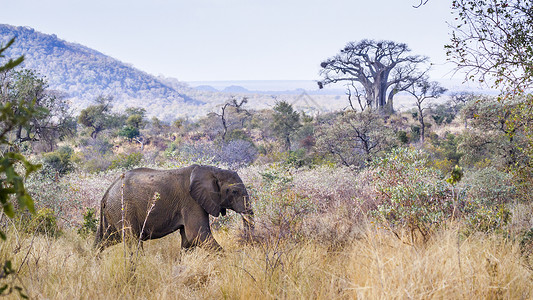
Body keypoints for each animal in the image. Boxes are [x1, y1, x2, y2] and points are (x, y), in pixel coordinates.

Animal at [93, 164, 254, 251]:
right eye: (234, 191)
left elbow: (188, 239)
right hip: (124, 208)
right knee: (132, 240)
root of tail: (107, 192)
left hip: (112, 213)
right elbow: (197, 234)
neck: (211, 170)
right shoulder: (191, 202)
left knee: (104, 241)